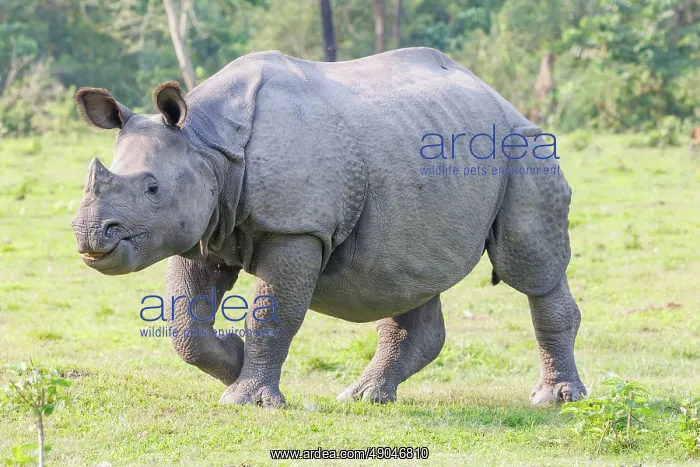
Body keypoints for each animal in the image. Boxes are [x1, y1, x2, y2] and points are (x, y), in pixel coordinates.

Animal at [70, 47, 586, 407]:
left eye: (152, 188)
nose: (92, 234)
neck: (207, 144)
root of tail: (499, 97)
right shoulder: (200, 231)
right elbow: (184, 325)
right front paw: (233, 360)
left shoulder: (297, 228)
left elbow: (270, 314)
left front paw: (246, 399)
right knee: (406, 276)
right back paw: (366, 398)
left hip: (522, 148)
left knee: (530, 270)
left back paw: (554, 401)